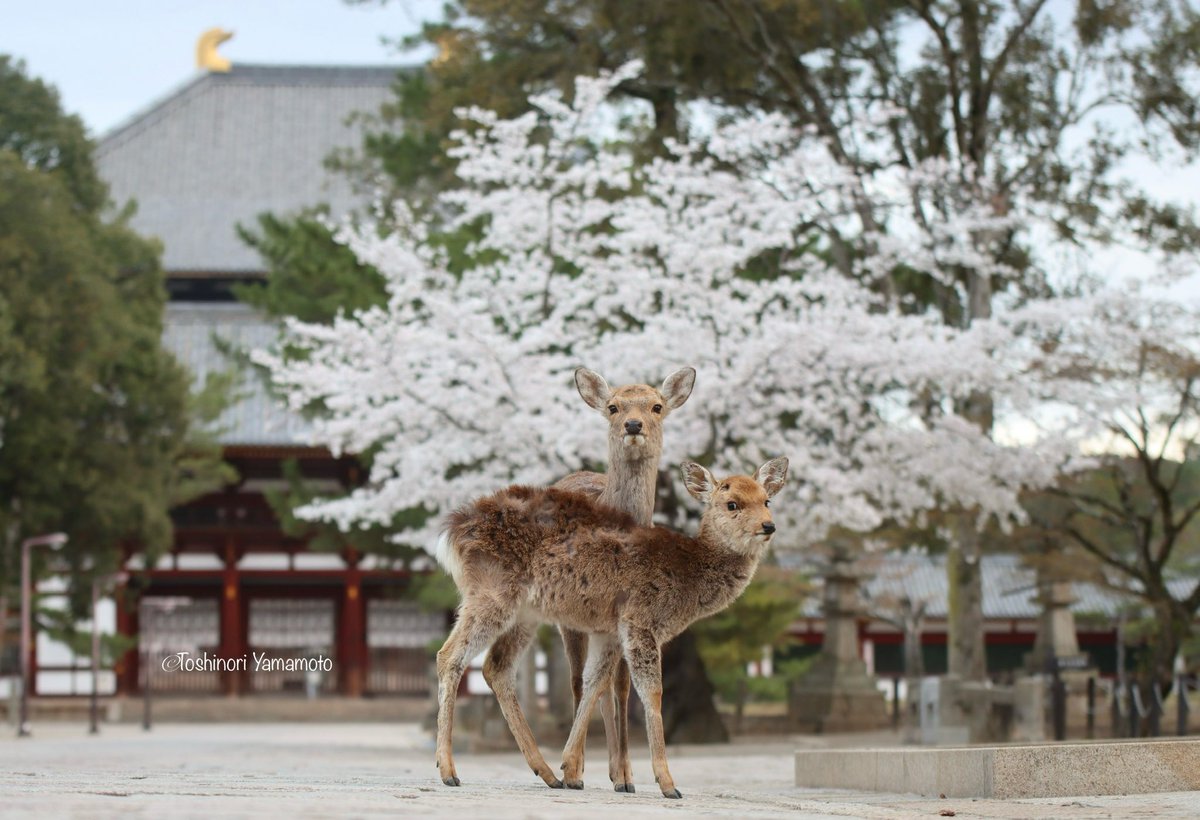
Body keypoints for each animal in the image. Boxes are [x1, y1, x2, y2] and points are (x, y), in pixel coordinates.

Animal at [433, 456, 788, 799]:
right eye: (732, 503)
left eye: (767, 500)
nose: (768, 526)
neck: (687, 583)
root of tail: (453, 532)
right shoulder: (640, 620)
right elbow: (652, 692)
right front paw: (668, 784)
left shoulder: (609, 630)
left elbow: (595, 682)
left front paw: (571, 767)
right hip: (492, 591)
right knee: (449, 655)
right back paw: (448, 770)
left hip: (525, 612)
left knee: (497, 666)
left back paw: (546, 772)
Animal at [551, 365, 695, 793]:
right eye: (613, 406)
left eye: (657, 406)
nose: (633, 424)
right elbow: (587, 683)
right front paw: (573, 771)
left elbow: (621, 687)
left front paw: (628, 776)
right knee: (577, 680)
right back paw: (578, 771)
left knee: (606, 686)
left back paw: (617, 773)